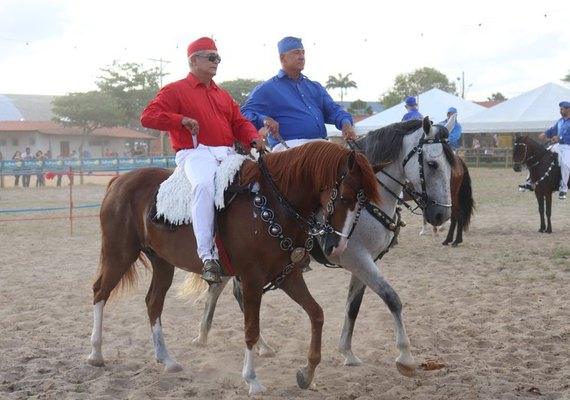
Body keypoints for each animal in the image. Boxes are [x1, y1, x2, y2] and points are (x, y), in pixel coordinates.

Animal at [86, 141, 380, 394]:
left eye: (364, 203)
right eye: (345, 197)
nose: (337, 247)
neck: (270, 204)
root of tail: (119, 180)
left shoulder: (289, 277)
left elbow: (316, 314)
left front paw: (306, 374)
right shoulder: (251, 280)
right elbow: (251, 328)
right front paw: (252, 379)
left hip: (162, 263)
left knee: (153, 302)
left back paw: (165, 358)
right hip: (119, 254)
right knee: (100, 292)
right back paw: (96, 353)